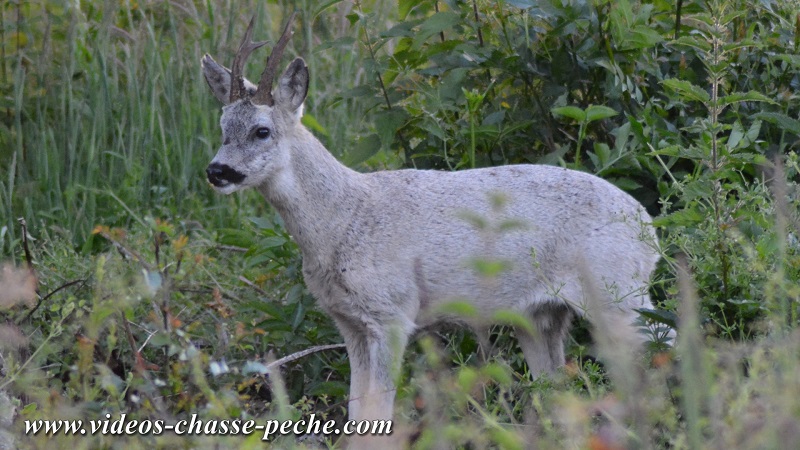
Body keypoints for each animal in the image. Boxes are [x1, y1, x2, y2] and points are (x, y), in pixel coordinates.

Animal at [202, 14, 664, 428]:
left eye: (262, 131)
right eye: (222, 126)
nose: (217, 170)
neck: (344, 219)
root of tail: (648, 227)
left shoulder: (393, 312)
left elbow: (378, 411)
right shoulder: (349, 321)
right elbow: (356, 411)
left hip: (616, 292)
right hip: (541, 314)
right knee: (556, 387)